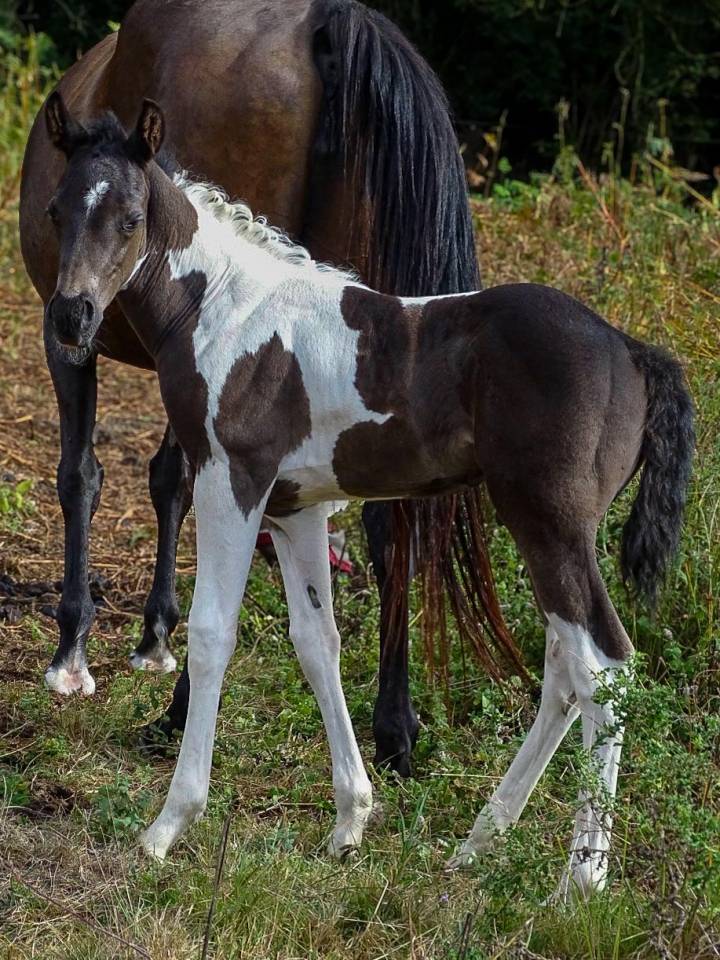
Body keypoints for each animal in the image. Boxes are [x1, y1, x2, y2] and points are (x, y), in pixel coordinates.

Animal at [18, 0, 524, 778]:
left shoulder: (91, 349)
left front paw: (75, 651)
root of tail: (327, 22)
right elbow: (167, 480)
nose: (73, 311)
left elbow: (82, 475)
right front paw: (153, 639)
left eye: (127, 221)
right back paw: (395, 726)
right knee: (390, 521)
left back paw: (182, 716)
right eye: (58, 212)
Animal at [42, 94, 693, 894]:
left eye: (131, 217)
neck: (224, 308)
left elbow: (211, 633)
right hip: (552, 533)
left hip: (549, 525)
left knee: (603, 670)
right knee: (566, 674)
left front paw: (168, 826)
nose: (71, 317)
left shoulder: (233, 482)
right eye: (57, 211)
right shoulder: (296, 510)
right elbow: (316, 642)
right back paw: (479, 843)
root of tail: (633, 352)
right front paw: (350, 820)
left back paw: (580, 881)